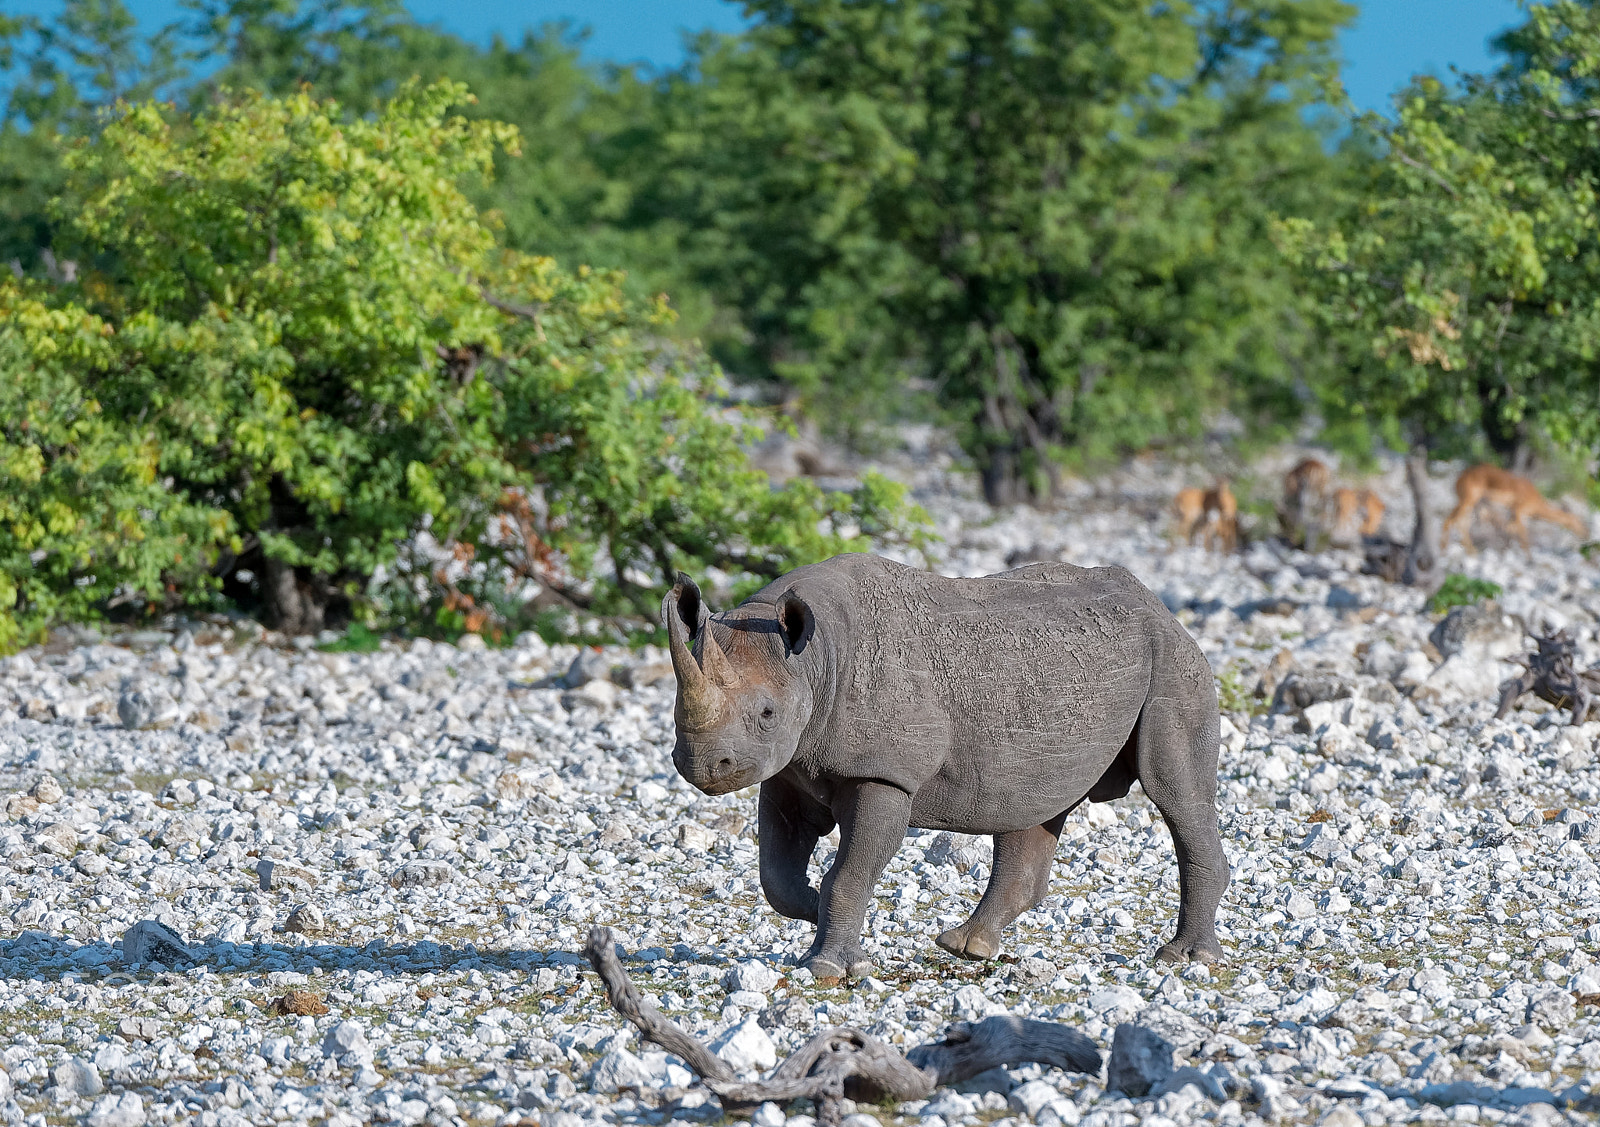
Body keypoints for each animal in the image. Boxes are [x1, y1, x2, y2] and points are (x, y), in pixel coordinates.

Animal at [1440, 464, 1587, 553]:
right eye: (1578, 521)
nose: (1586, 533)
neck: (1538, 504)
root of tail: (1459, 479)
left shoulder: (1513, 513)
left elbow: (1509, 529)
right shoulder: (1519, 511)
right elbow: (1523, 534)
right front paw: (1528, 559)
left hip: (1473, 504)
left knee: (1461, 522)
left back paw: (1470, 551)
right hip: (1468, 501)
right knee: (1451, 520)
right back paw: (1445, 549)